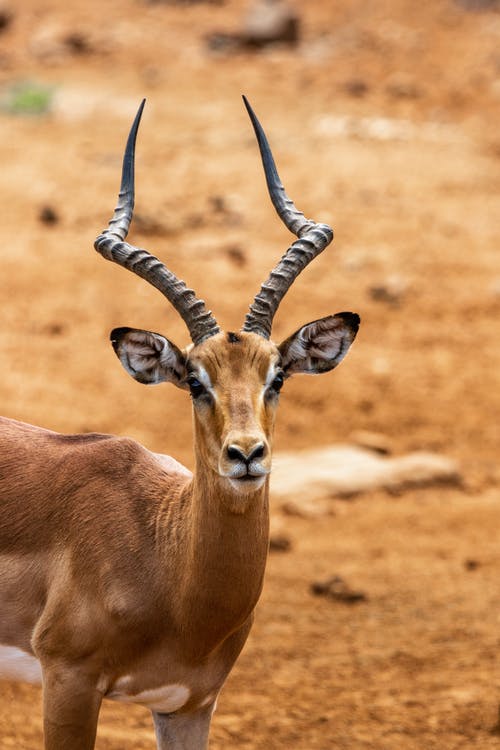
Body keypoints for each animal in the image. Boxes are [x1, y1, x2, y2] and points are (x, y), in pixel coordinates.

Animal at [0, 100, 360, 750]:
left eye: (277, 377)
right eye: (195, 381)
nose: (246, 454)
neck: (165, 559)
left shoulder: (190, 704)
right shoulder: (66, 681)